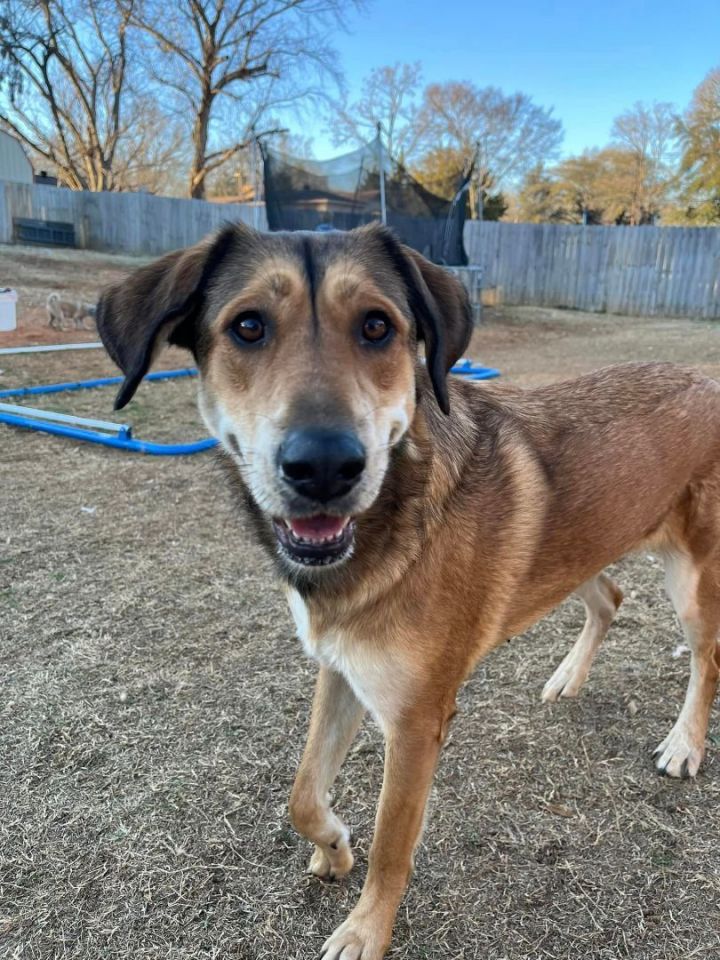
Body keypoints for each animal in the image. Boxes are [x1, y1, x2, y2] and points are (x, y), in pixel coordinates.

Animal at [97, 225, 720, 960]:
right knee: (610, 599)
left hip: (692, 579)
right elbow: (302, 792)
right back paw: (568, 677)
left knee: (706, 660)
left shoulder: (416, 722)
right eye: (247, 326)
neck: (397, 512)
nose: (325, 467)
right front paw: (335, 846)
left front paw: (366, 929)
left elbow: (393, 843)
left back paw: (684, 744)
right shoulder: (342, 669)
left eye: (377, 326)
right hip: (583, 548)